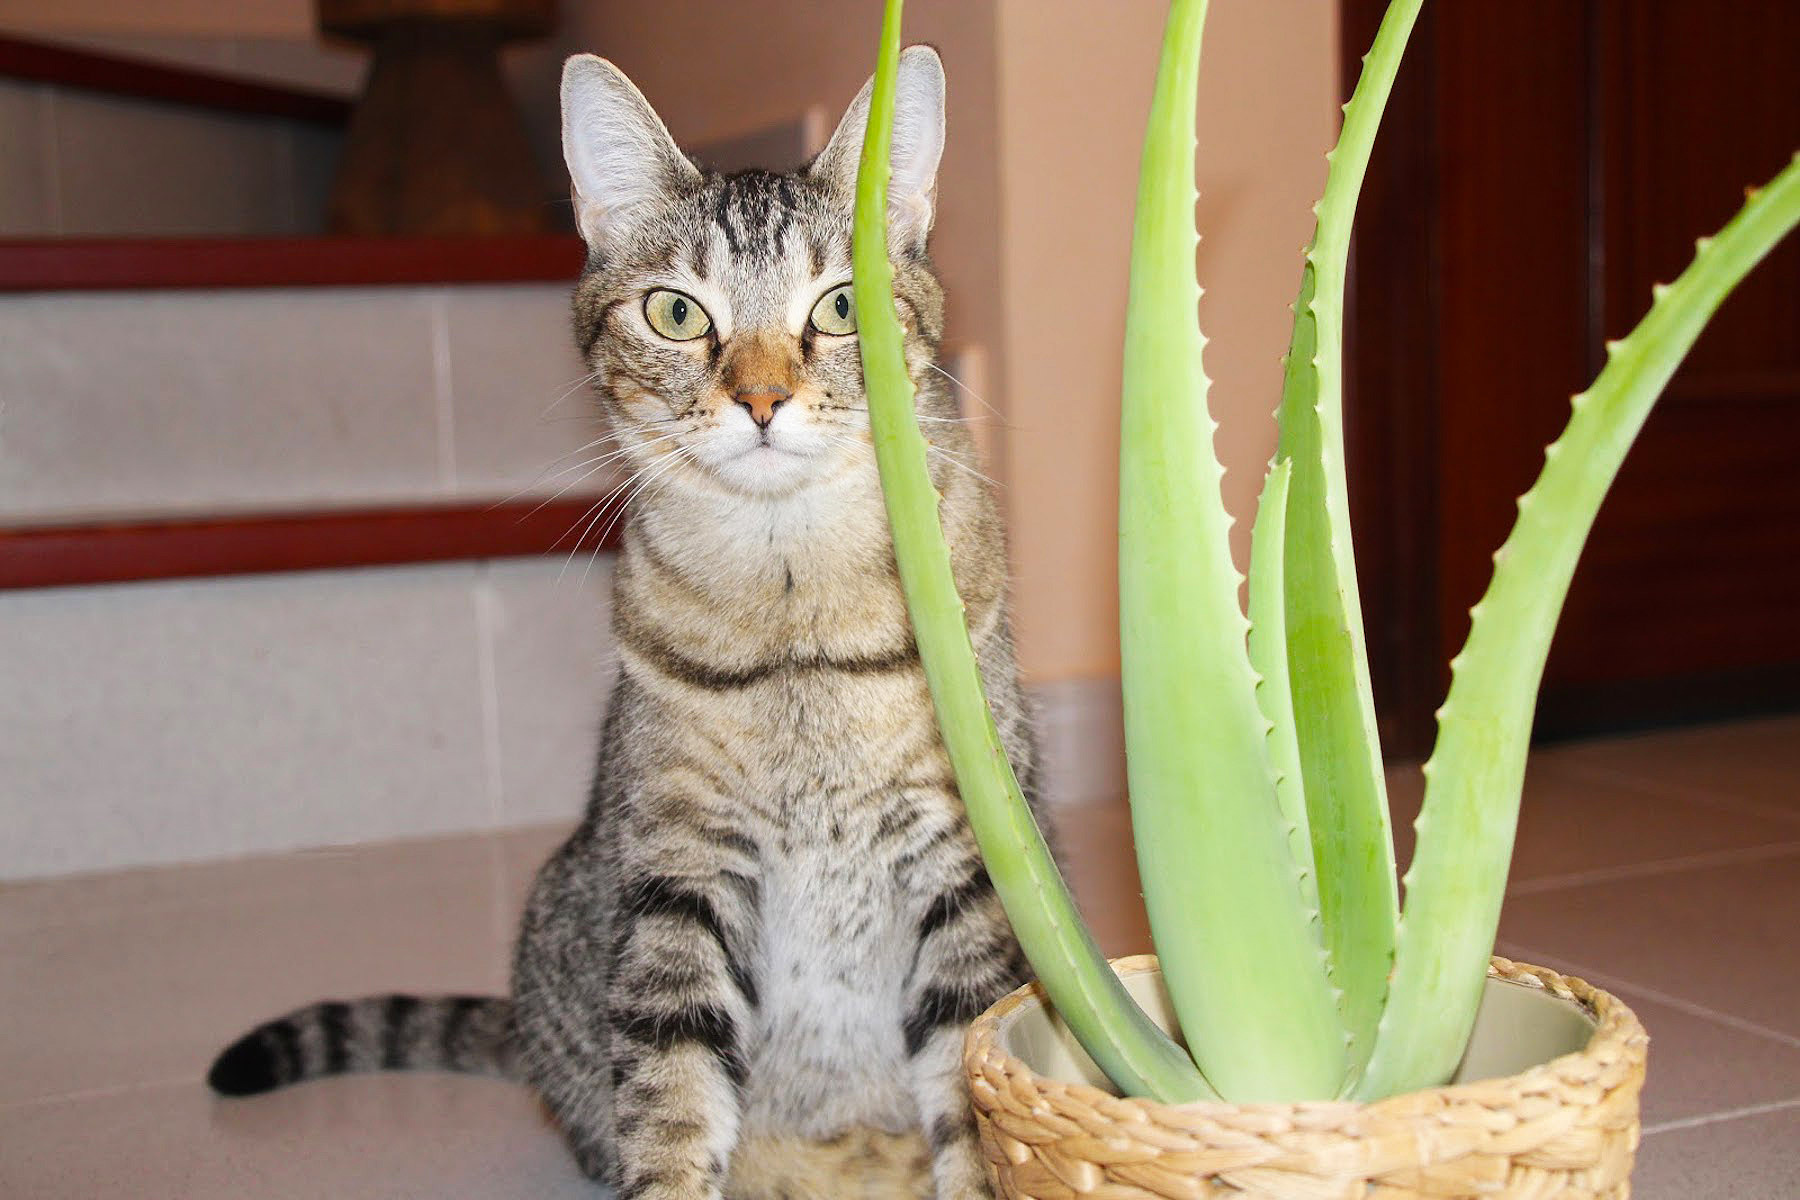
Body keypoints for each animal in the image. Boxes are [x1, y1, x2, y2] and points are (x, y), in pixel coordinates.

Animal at [206, 47, 1044, 1200]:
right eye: (677, 315)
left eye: (841, 307)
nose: (763, 401)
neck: (793, 602)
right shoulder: (681, 866)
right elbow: (673, 1089)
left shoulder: (967, 866)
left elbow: (966, 1090)